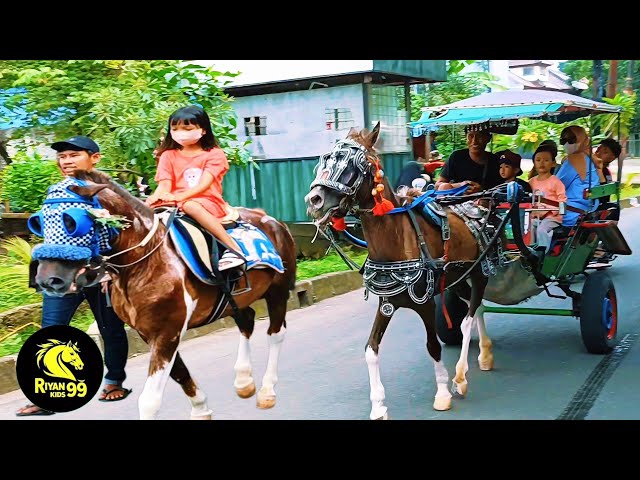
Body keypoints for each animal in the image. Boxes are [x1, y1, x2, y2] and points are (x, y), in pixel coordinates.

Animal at [32, 170, 298, 420]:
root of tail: (273, 220)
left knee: (276, 333)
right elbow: (180, 374)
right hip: (235, 301)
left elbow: (149, 400)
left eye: (71, 221)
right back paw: (244, 381)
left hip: (277, 291)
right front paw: (201, 408)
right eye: (40, 222)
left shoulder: (167, 330)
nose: (47, 279)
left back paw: (267, 391)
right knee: (247, 320)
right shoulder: (151, 332)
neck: (144, 260)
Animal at [308, 124, 508, 420]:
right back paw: (485, 355)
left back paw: (461, 377)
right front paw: (378, 406)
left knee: (468, 318)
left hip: (479, 272)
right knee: (478, 307)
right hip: (457, 278)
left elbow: (433, 346)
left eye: (358, 164)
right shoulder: (387, 303)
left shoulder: (425, 304)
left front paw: (442, 393)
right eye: (326, 159)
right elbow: (370, 349)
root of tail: (478, 203)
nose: (314, 200)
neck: (397, 241)